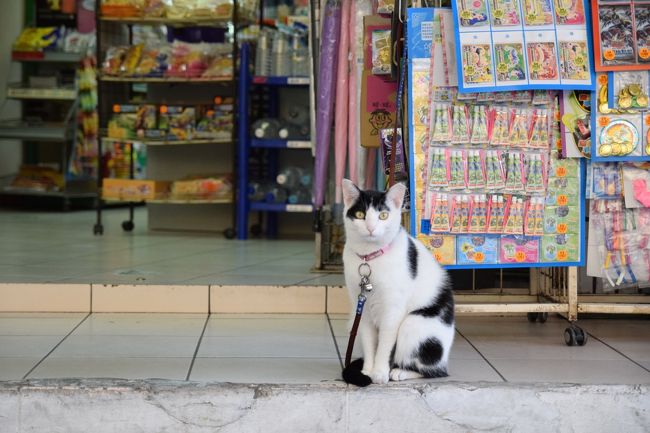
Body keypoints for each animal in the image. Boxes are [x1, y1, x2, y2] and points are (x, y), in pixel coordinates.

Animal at [342, 177, 454, 386]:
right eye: (360, 215)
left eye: (383, 215)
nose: (370, 227)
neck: (370, 259)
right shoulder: (363, 309)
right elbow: (370, 342)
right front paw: (367, 370)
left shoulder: (393, 310)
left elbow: (385, 344)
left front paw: (379, 372)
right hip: (354, 318)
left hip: (414, 324)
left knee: (433, 370)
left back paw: (400, 372)